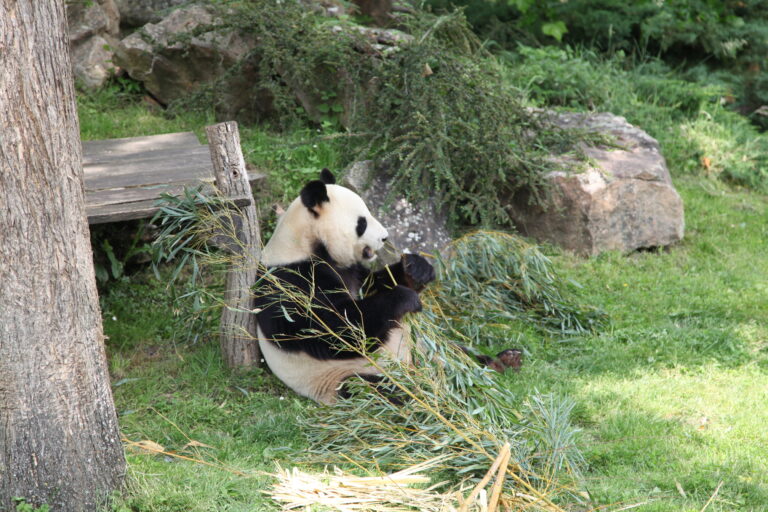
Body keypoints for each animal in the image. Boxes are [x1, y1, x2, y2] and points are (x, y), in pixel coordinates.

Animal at [254, 168, 436, 404]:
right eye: (362, 223)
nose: (385, 237)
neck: (303, 245)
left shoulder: (352, 270)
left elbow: (374, 283)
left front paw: (416, 269)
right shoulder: (292, 283)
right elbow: (337, 331)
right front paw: (405, 298)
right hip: (342, 378)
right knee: (378, 391)